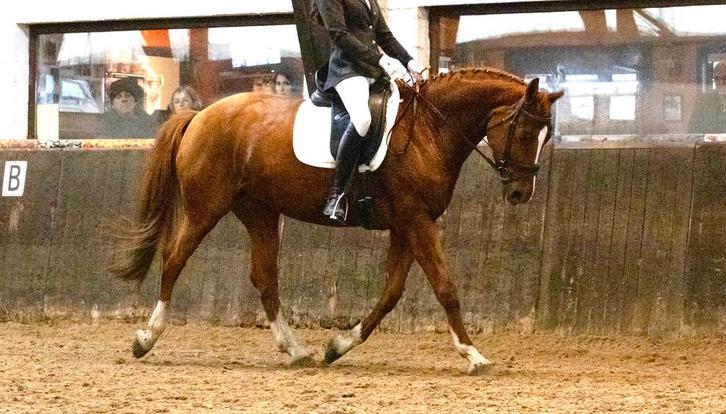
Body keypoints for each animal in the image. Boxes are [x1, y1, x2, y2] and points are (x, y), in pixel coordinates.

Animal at [110, 68, 563, 375]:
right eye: (526, 132)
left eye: (547, 136)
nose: (520, 194)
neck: (430, 130)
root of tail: (200, 114)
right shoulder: (416, 221)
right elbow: (446, 288)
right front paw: (474, 355)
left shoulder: (407, 225)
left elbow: (391, 293)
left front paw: (339, 345)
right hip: (205, 207)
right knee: (174, 260)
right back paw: (145, 338)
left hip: (260, 212)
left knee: (265, 278)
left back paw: (297, 351)